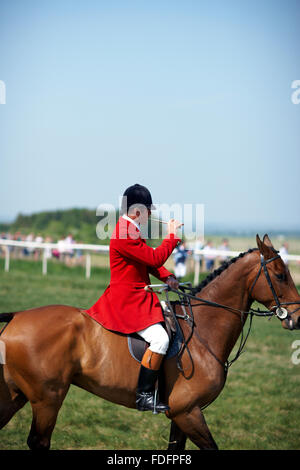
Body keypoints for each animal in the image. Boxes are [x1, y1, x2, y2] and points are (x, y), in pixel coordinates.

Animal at [0, 233, 300, 450]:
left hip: (16, 394)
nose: (296, 318)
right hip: (47, 399)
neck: (203, 331)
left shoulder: (183, 415)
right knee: (39, 442)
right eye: (280, 275)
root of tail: (17, 316)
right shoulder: (187, 412)